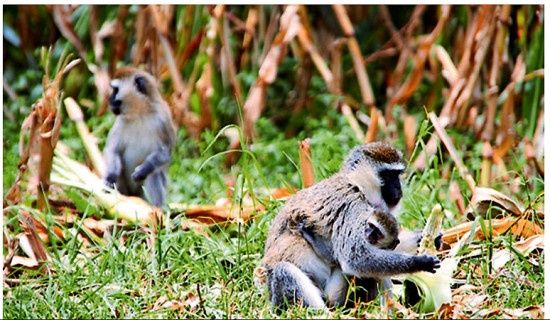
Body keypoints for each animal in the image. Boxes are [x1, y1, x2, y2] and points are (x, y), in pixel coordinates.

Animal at [101, 68, 175, 208]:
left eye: (115, 90)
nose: (109, 99)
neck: (140, 113)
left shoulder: (163, 119)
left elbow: (164, 153)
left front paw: (141, 171)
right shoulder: (120, 122)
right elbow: (112, 150)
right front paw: (110, 178)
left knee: (153, 174)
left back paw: (157, 208)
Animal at [266, 142, 442, 310]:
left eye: (397, 175)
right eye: (387, 175)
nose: (399, 187)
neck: (357, 184)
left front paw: (427, 237)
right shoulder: (351, 206)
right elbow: (354, 258)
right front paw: (419, 262)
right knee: (284, 271)